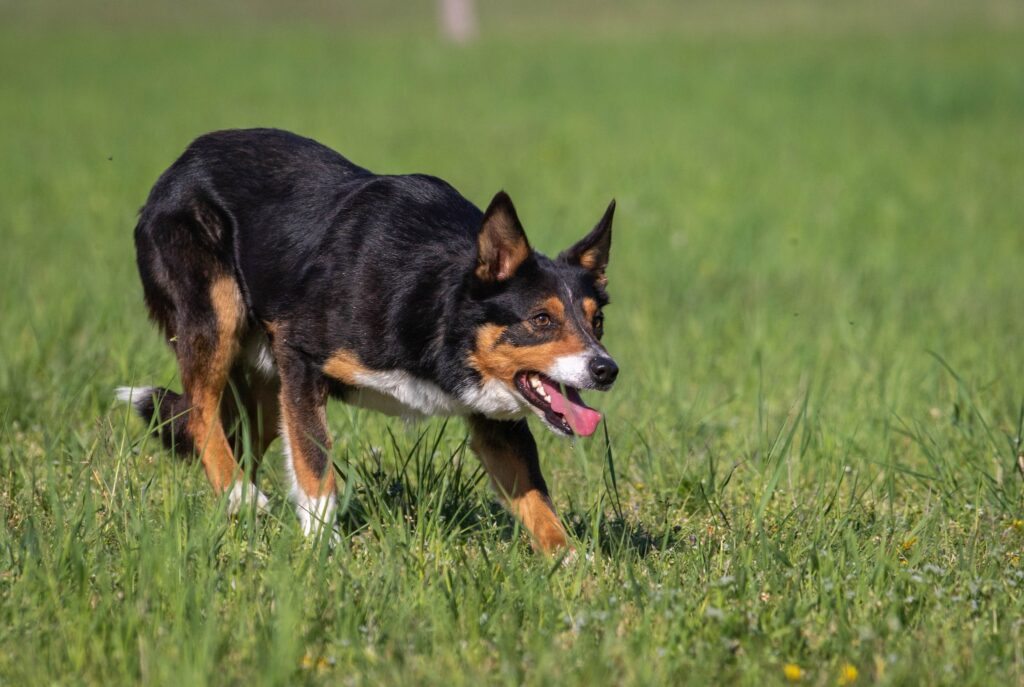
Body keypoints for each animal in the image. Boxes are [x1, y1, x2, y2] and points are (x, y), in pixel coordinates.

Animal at [117, 128, 617, 553]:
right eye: (541, 319)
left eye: (597, 322)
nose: (606, 370)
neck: (430, 302)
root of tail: (181, 163)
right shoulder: (300, 356)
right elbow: (315, 461)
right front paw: (324, 548)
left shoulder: (497, 422)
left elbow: (536, 497)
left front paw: (571, 566)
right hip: (216, 315)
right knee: (200, 413)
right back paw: (240, 494)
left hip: (265, 384)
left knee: (238, 435)